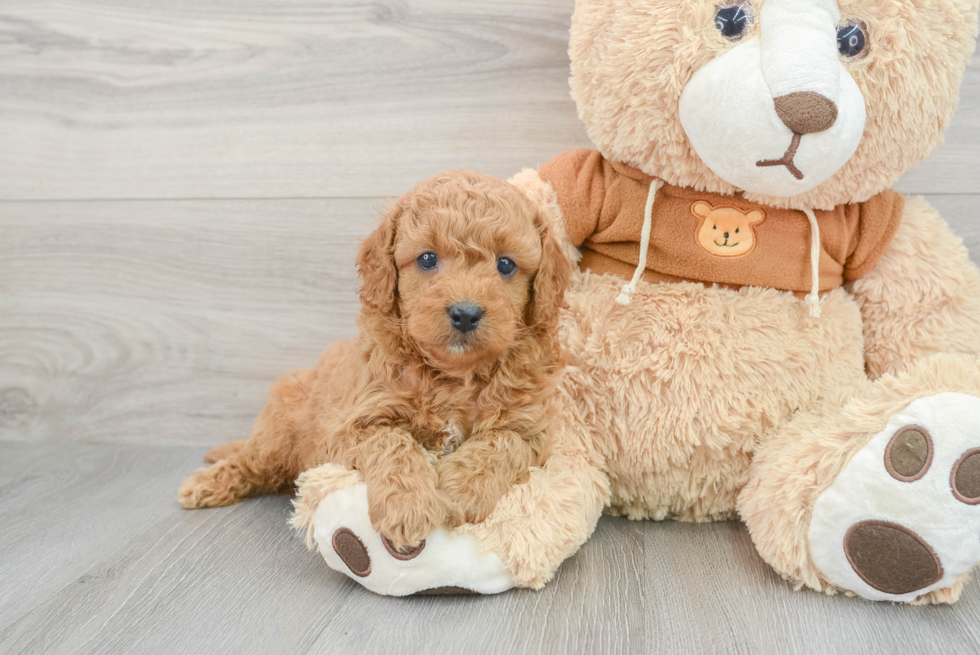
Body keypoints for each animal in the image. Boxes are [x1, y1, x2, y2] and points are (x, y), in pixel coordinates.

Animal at [180, 169, 572, 548]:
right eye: (427, 258)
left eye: (505, 264)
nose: (465, 313)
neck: (454, 375)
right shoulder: (348, 427)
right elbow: (392, 441)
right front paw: (409, 506)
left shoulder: (531, 430)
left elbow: (501, 443)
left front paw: (457, 490)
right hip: (278, 435)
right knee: (250, 461)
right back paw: (205, 484)